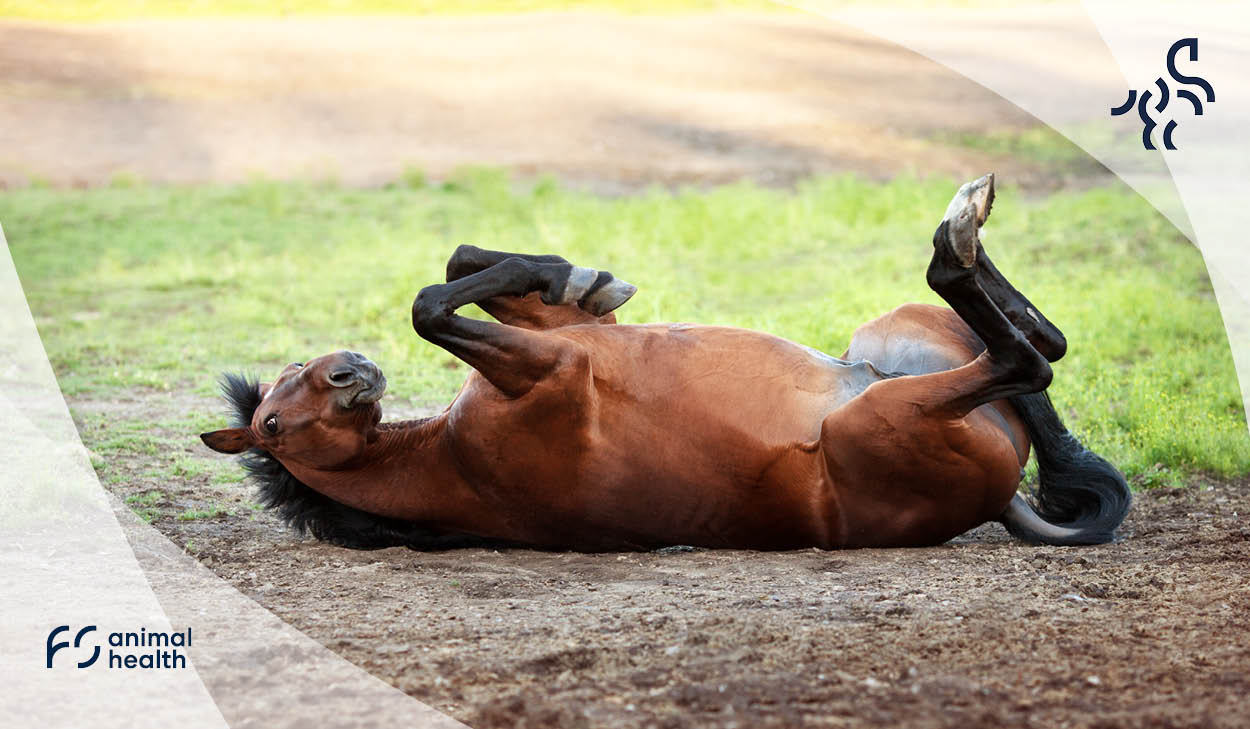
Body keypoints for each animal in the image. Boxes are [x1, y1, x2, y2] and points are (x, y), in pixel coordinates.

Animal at [202, 176, 1135, 550]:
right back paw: (957, 229)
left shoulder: (554, 336)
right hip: (889, 411)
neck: (450, 457)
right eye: (273, 420)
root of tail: (1003, 499)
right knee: (1026, 360)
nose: (350, 370)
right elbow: (431, 303)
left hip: (888, 340)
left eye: (299, 370)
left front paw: (583, 274)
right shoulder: (553, 370)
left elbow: (466, 263)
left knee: (1038, 349)